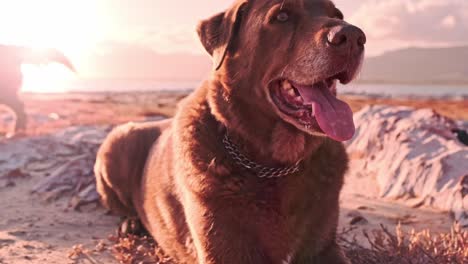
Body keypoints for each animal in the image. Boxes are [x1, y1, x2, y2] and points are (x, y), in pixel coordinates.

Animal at [95, 1, 366, 262]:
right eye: (282, 16)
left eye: (338, 14)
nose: (354, 36)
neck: (274, 164)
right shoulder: (224, 249)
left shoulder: (325, 247)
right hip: (116, 142)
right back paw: (131, 223)